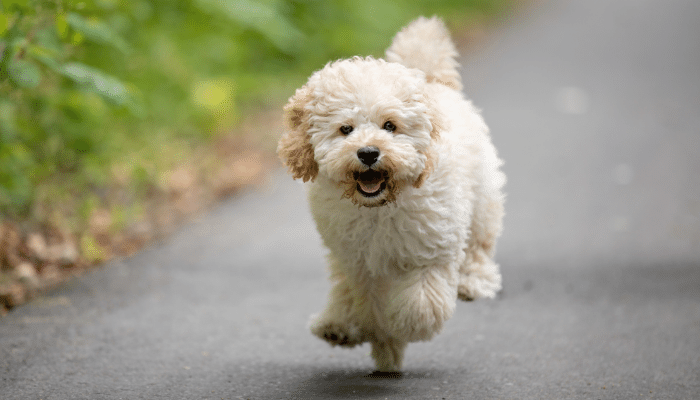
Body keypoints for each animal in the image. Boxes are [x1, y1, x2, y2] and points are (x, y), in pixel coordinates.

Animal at [276, 15, 506, 372]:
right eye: (345, 129)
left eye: (390, 126)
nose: (369, 153)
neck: (380, 207)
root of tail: (430, 80)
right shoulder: (360, 263)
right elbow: (367, 304)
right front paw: (381, 340)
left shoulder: (431, 252)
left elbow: (421, 304)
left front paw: (403, 327)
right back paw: (338, 326)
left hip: (482, 198)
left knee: (479, 244)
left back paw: (473, 282)